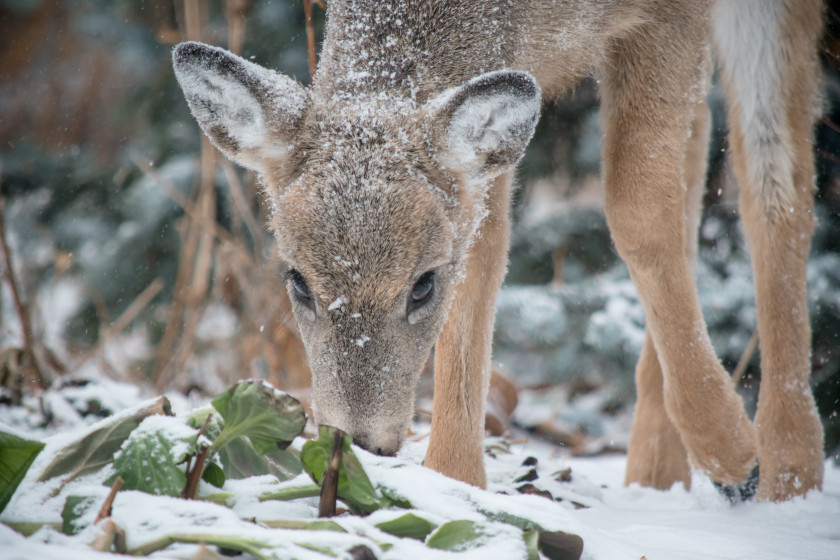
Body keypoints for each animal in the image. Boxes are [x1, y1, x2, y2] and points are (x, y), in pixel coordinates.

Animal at [172, 0, 828, 504]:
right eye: (298, 280)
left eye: (423, 284)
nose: (357, 441)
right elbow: (487, 259)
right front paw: (455, 484)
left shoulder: (670, 16)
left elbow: (636, 208)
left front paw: (736, 454)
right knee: (707, 158)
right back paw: (658, 476)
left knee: (776, 180)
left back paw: (785, 473)